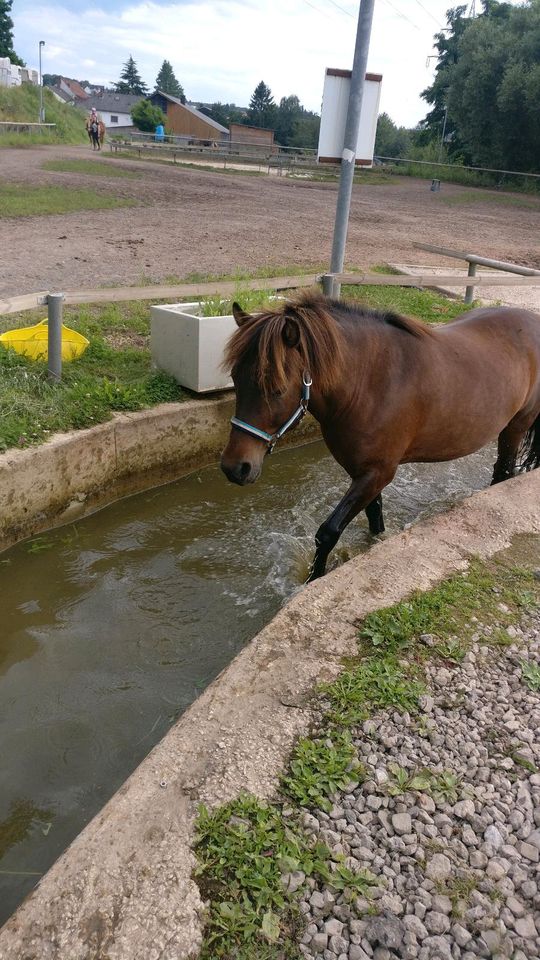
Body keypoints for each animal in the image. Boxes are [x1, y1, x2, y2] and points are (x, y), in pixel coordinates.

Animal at [220, 292, 540, 576]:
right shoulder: (365, 472)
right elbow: (375, 516)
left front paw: (314, 577)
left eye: (276, 388)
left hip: (515, 427)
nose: (235, 468)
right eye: (235, 379)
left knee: (504, 471)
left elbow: (328, 532)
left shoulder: (378, 473)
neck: (371, 382)